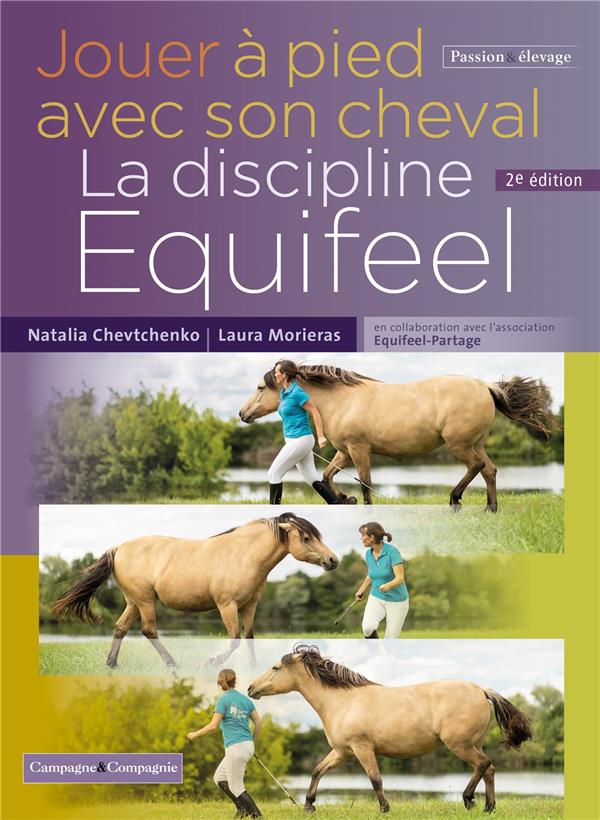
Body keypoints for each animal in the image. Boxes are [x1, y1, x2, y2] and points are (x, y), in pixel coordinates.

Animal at [51, 513, 338, 668]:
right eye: (306, 538)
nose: (333, 560)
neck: (245, 554)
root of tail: (119, 548)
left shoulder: (249, 605)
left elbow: (248, 637)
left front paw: (255, 668)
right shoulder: (227, 605)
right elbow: (234, 638)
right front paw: (212, 662)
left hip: (133, 602)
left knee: (121, 628)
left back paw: (111, 664)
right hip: (145, 601)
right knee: (149, 630)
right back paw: (172, 664)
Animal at [239, 365, 557, 509]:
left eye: (260, 387)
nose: (242, 414)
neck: (341, 400)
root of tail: (486, 386)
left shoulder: (359, 450)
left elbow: (366, 482)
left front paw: (359, 505)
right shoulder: (344, 451)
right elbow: (327, 477)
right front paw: (344, 499)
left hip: (460, 445)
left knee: (476, 467)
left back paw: (455, 499)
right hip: (475, 444)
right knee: (489, 470)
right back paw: (491, 508)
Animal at [248, 644, 533, 814]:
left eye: (275, 667)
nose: (251, 688)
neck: (342, 701)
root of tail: (481, 690)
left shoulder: (362, 748)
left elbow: (375, 779)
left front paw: (385, 809)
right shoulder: (342, 752)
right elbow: (318, 770)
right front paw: (309, 806)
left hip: (460, 745)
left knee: (483, 765)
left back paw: (468, 799)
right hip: (473, 744)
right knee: (489, 769)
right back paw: (488, 807)